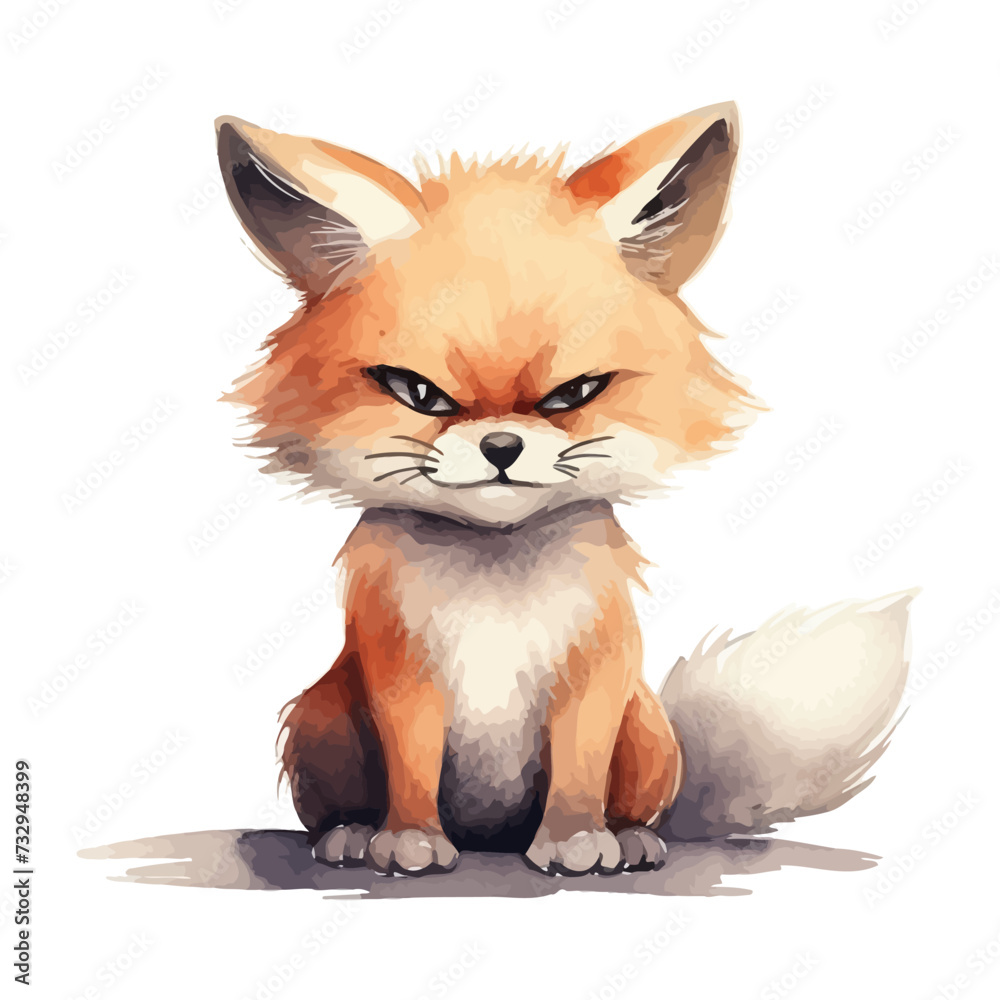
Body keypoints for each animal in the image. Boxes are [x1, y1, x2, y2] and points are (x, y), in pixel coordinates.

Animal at [215, 102, 913, 877]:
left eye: (572, 394)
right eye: (417, 393)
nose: (501, 446)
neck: (494, 577)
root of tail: (490, 835)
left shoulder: (595, 673)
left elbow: (580, 767)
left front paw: (578, 838)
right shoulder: (401, 674)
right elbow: (412, 765)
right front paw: (409, 838)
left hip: (647, 728)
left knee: (642, 805)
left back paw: (634, 837)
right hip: (323, 718)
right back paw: (350, 833)